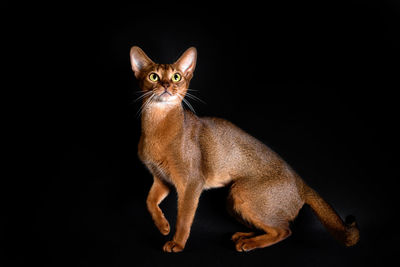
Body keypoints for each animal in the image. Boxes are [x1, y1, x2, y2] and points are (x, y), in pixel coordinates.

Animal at [129, 46, 360, 253]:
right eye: (153, 77)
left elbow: (184, 218)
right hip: (232, 201)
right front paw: (163, 226)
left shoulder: (191, 183)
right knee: (273, 227)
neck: (157, 126)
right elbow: (149, 201)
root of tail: (302, 184)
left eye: (176, 77)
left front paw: (177, 243)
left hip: (240, 192)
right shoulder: (162, 179)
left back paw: (249, 244)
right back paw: (244, 236)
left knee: (284, 231)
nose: (167, 85)